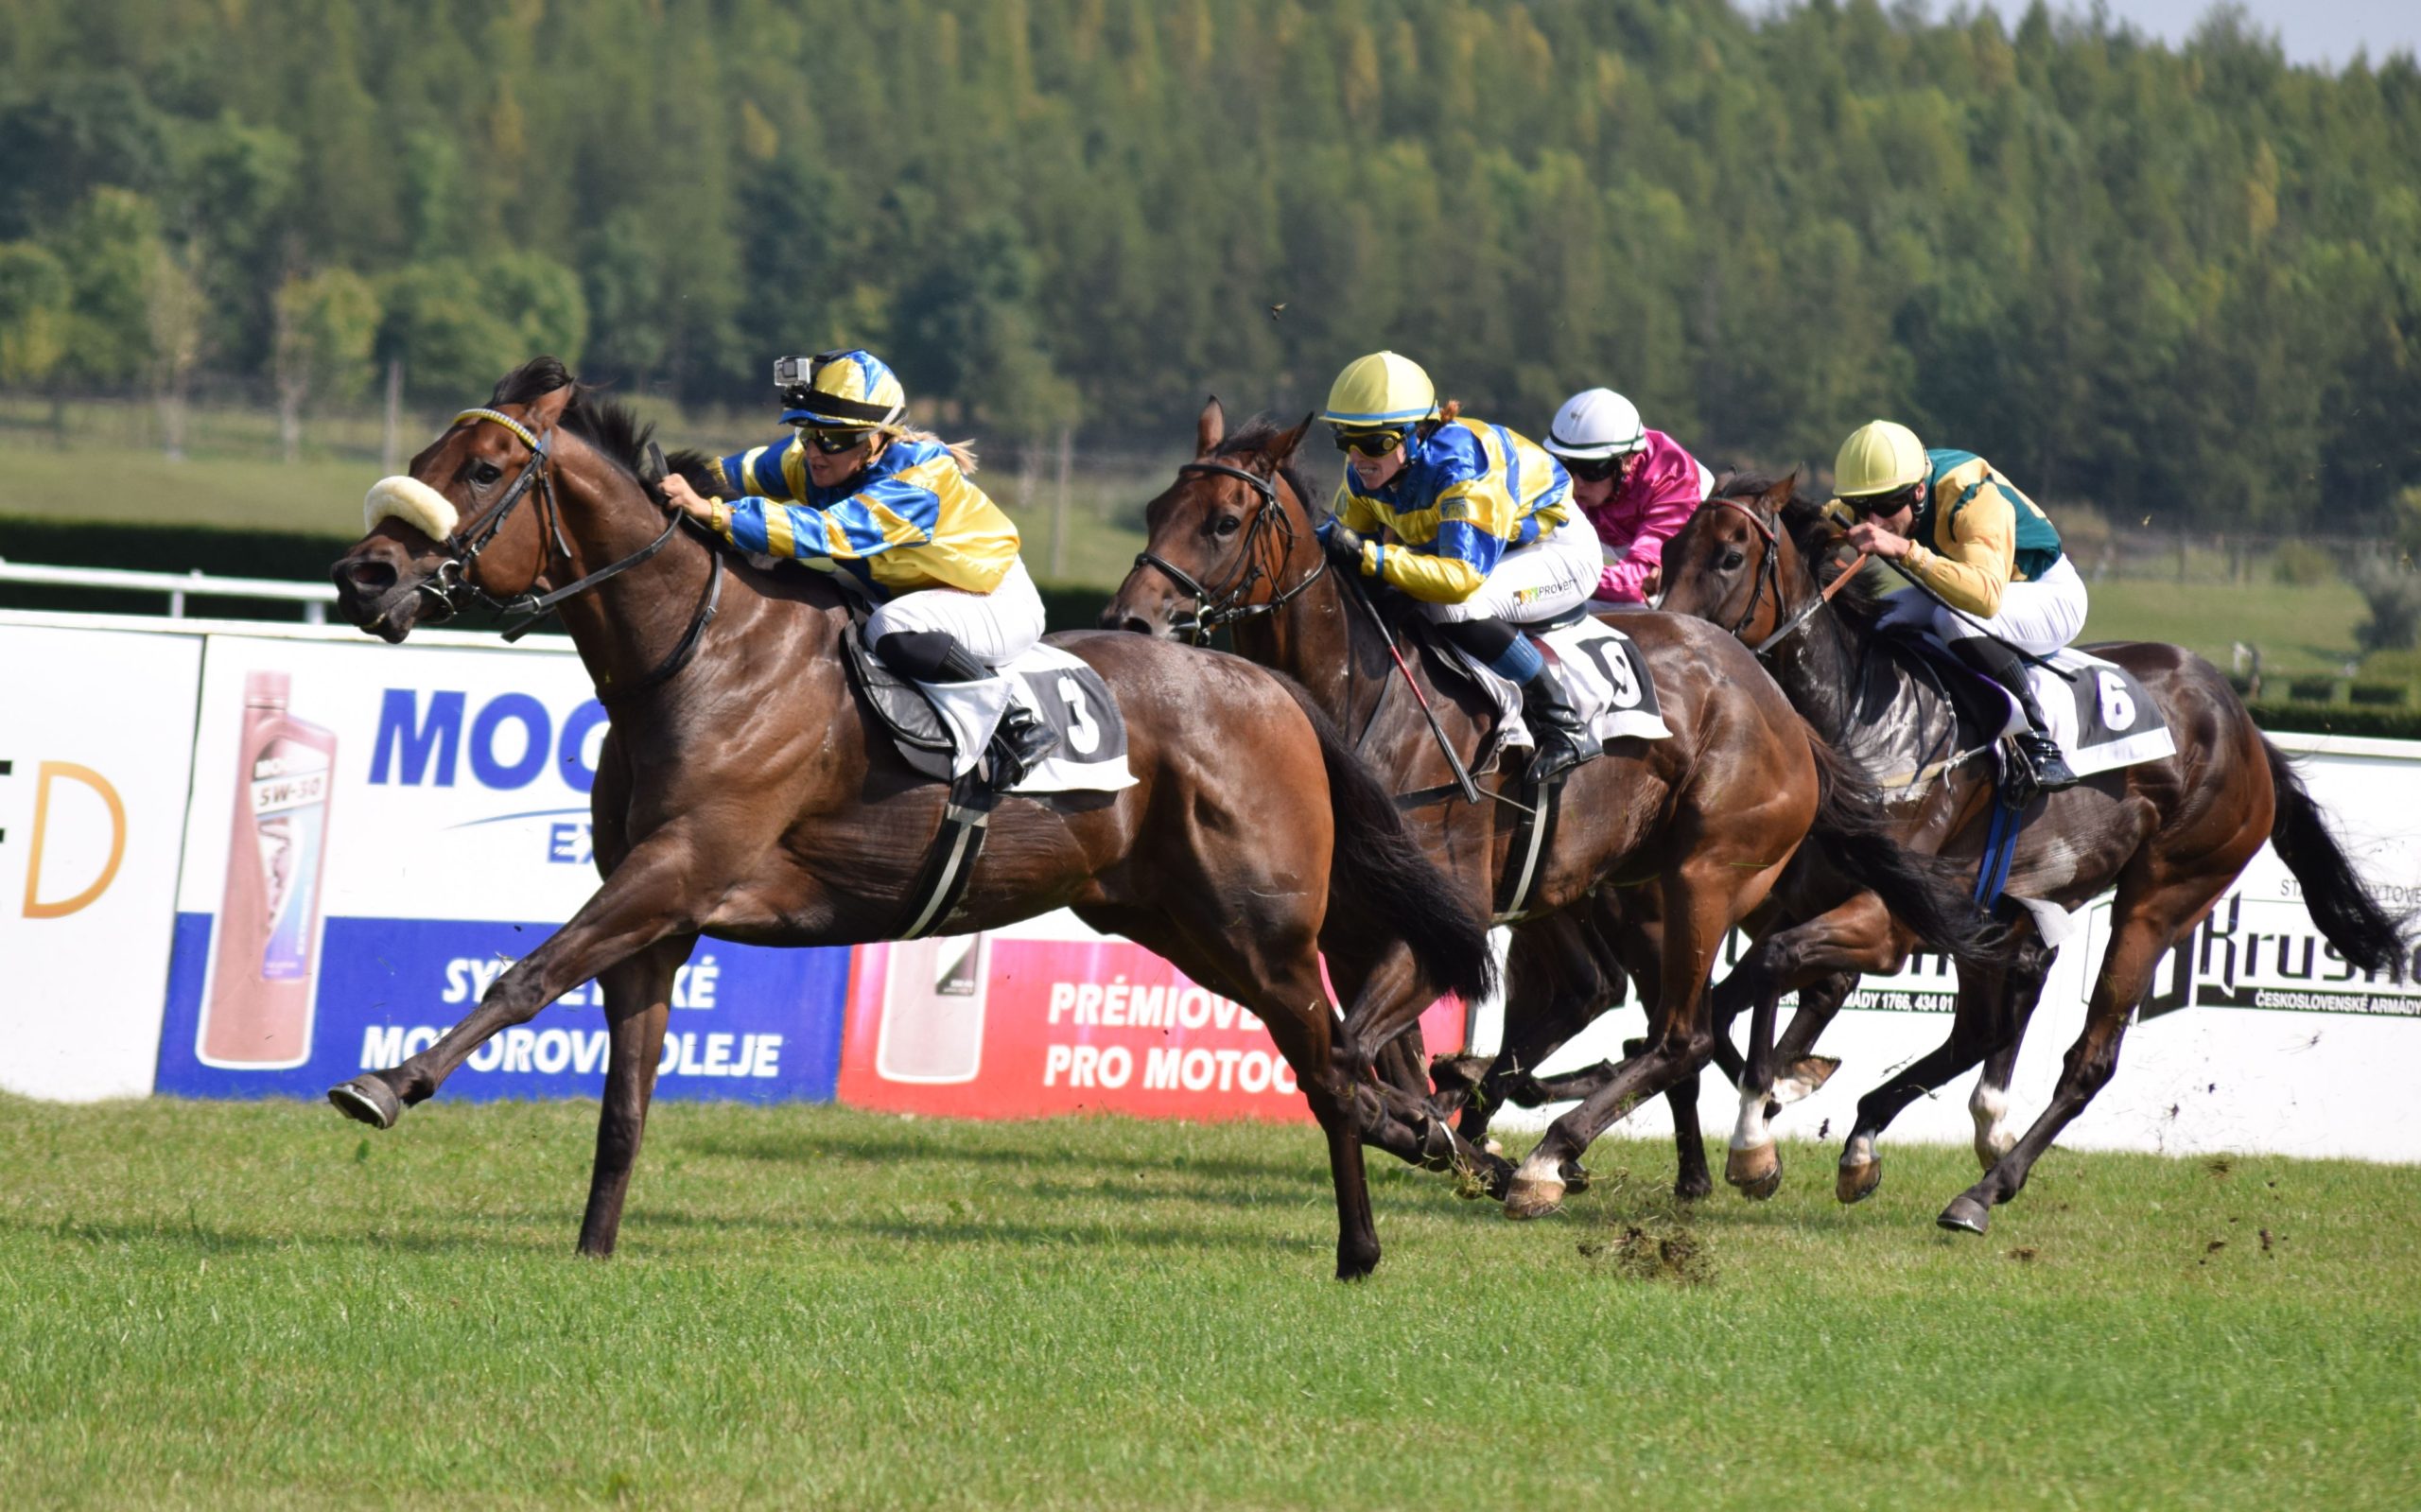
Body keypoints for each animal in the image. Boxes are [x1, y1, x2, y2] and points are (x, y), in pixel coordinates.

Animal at [324, 358, 1494, 1280]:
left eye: (482, 470)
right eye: (425, 452)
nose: (363, 575)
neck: (699, 654)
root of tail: (1271, 691)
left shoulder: (679, 867)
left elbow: (524, 978)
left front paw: (384, 1084)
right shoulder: (659, 918)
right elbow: (623, 1101)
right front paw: (593, 1251)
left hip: (1262, 924)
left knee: (1329, 1065)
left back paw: (1365, 1242)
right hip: (1177, 925)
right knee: (1329, 1058)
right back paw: (1422, 1137)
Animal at [1098, 402, 2007, 1216]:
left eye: (1223, 521)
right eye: (1154, 509)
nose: (1129, 618)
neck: (1361, 697)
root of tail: (1776, 699)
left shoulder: (1448, 920)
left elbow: (1355, 1052)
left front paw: (1475, 1141)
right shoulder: (1359, 933)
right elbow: (1380, 1065)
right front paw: (1447, 1132)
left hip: (1704, 874)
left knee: (1684, 1031)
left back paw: (1579, 1154)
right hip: (1626, 886)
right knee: (1640, 1008)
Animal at [1656, 472, 2412, 1230]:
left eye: (1730, 557)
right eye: (1666, 551)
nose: (1675, 646)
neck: (1863, 718)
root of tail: (2249, 730)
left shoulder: (1888, 921)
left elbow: (1769, 970)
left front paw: (1757, 1129)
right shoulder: (1806, 899)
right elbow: (1734, 994)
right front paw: (1768, 1111)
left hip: (2163, 898)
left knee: (2087, 1057)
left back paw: (1983, 1189)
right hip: (2014, 903)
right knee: (1981, 1027)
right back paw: (1882, 1141)